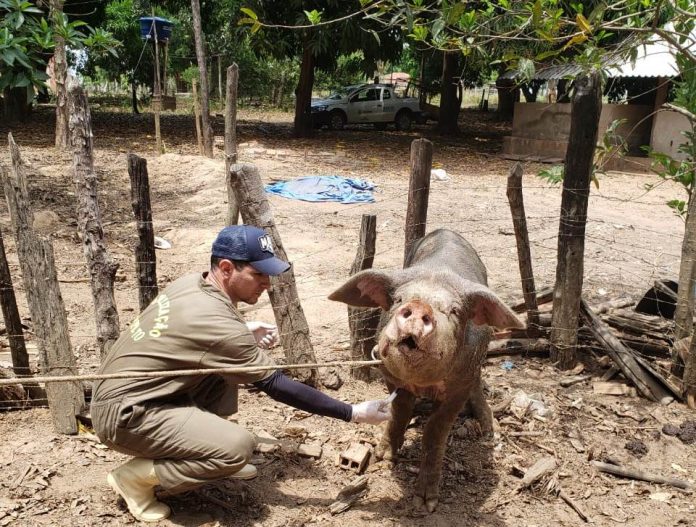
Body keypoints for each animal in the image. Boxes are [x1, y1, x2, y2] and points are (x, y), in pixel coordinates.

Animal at [329, 228, 523, 512]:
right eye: (399, 299)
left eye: (454, 310)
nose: (420, 306)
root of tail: (446, 230)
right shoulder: (390, 376)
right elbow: (399, 410)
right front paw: (383, 458)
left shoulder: (458, 388)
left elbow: (435, 431)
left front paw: (425, 503)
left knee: (478, 382)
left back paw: (489, 431)